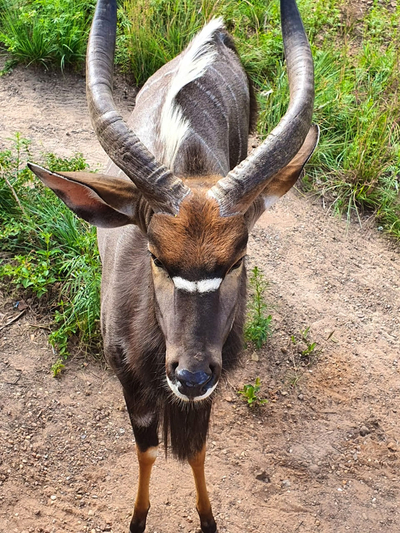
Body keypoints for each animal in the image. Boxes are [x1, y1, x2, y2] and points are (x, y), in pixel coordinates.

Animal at [28, 0, 318, 528]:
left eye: (238, 257)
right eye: (156, 256)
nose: (191, 376)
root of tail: (216, 34)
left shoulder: (210, 386)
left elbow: (198, 450)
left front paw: (208, 520)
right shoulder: (132, 382)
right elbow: (145, 450)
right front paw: (138, 519)